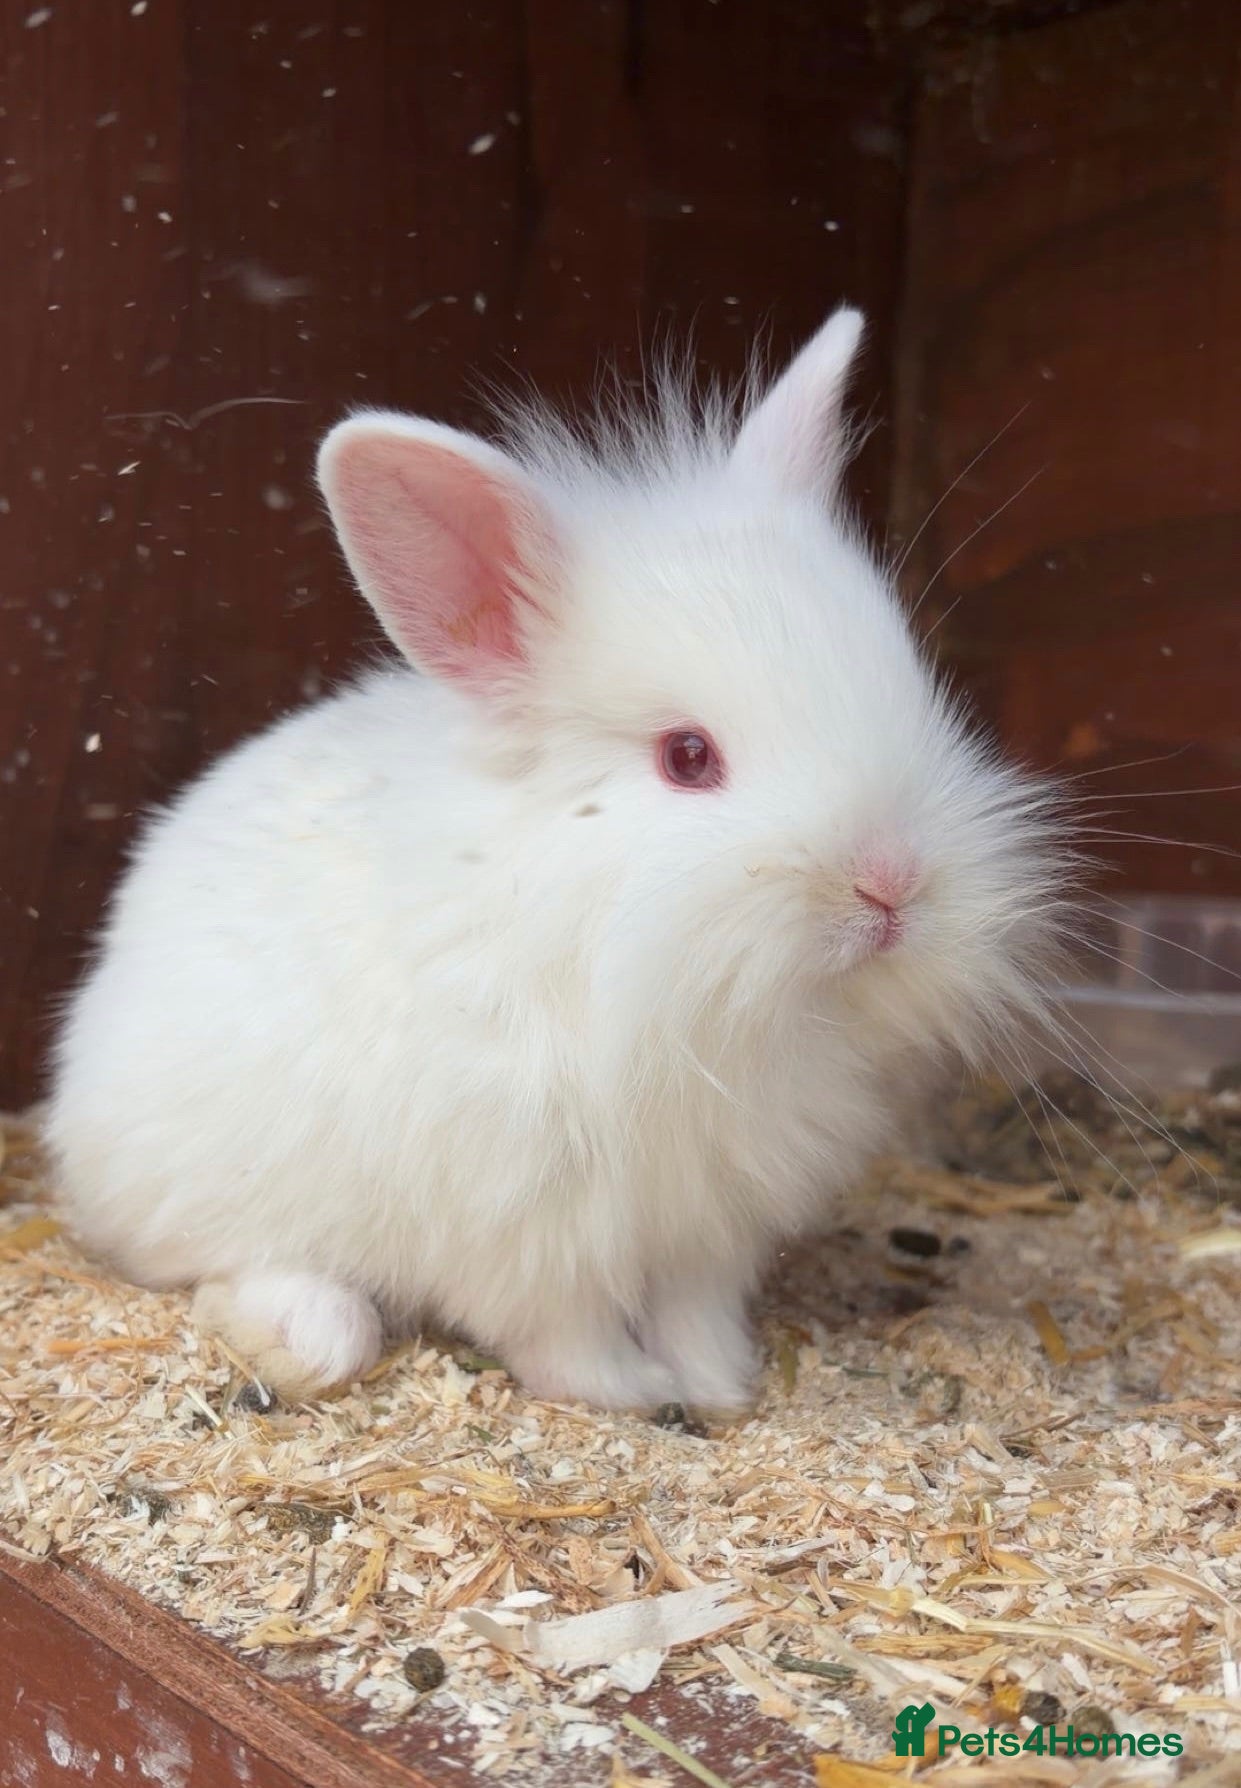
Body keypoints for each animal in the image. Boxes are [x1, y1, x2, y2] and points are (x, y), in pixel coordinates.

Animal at [46, 308, 1068, 1414]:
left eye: (914, 693)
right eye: (687, 757)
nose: (890, 885)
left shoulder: (707, 1226)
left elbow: (695, 1311)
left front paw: (721, 1388)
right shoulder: (527, 1227)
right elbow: (561, 1333)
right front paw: (633, 1394)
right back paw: (296, 1329)